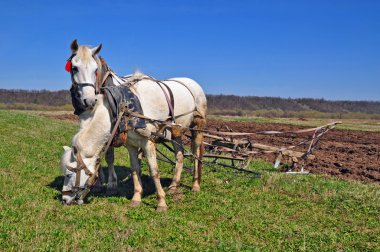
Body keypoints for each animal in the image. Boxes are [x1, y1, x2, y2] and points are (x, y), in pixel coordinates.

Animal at [60, 40, 206, 210]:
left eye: (69, 174)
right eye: (74, 67)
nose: (64, 199)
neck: (122, 107)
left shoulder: (148, 142)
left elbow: (154, 170)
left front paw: (161, 203)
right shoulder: (129, 143)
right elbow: (134, 168)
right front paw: (136, 197)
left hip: (197, 127)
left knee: (196, 153)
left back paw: (195, 185)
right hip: (176, 131)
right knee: (180, 155)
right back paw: (173, 186)